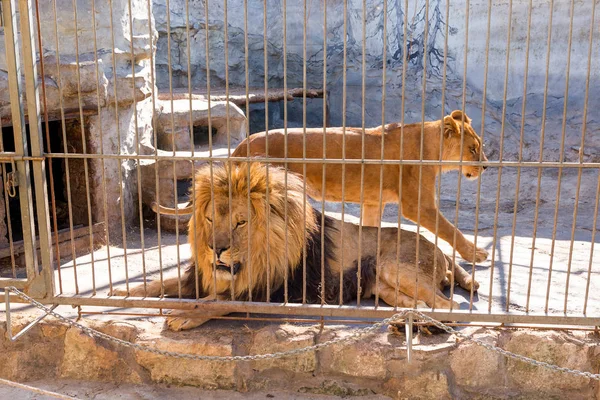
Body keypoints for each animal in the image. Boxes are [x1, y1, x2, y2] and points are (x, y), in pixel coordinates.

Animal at [113, 162, 478, 332]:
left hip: (394, 266)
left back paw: (426, 325)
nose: (215, 250)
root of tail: (442, 251)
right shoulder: (201, 277)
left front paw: (182, 314)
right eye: (210, 218)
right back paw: (408, 321)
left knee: (452, 306)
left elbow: (217, 302)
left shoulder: (272, 289)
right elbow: (159, 282)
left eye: (241, 222)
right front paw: (121, 292)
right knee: (424, 303)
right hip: (384, 287)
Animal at [232, 111, 490, 264]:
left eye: (480, 147)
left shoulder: (373, 203)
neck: (431, 149)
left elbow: (371, 229)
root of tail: (242, 145)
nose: (486, 166)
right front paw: (475, 253)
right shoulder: (418, 206)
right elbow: (450, 229)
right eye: (473, 149)